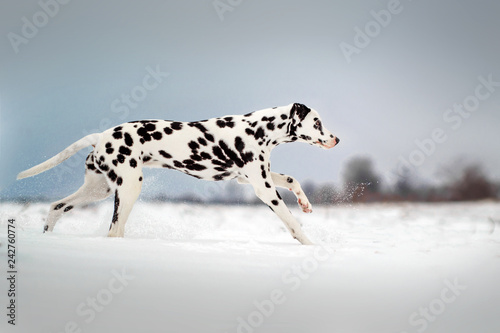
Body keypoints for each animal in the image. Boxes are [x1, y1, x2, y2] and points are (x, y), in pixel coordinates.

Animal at [18, 103, 340, 244]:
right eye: (317, 122)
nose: (336, 139)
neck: (258, 129)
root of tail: (100, 137)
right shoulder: (262, 188)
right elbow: (292, 222)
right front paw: (310, 246)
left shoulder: (251, 177)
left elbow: (292, 180)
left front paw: (305, 203)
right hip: (129, 188)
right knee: (113, 231)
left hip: (99, 190)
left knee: (56, 207)